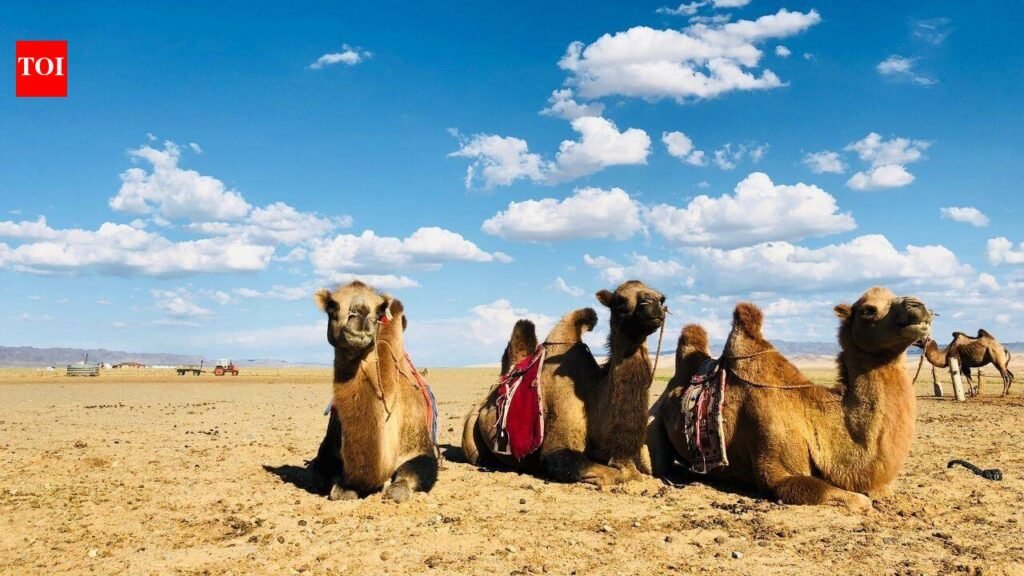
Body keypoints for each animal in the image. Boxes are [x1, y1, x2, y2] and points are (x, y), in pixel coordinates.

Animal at [308, 281, 438, 502]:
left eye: (380, 309)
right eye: (332, 306)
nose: (361, 312)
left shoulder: (420, 447)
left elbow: (401, 486)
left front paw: (392, 487)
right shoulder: (327, 449)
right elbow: (334, 485)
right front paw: (344, 488)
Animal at [462, 280, 667, 486]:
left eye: (662, 298)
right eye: (620, 300)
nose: (653, 302)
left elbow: (641, 468)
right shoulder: (558, 448)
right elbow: (619, 473)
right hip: (470, 430)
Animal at [648, 287, 932, 512]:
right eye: (868, 310)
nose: (919, 306)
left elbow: (882, 491)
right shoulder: (778, 468)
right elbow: (858, 501)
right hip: (653, 422)